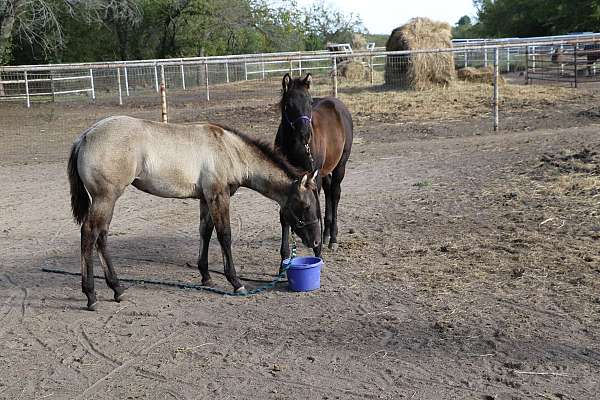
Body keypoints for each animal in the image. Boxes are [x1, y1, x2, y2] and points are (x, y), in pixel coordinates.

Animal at [68, 115, 322, 310]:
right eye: (306, 206)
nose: (317, 242)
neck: (230, 150)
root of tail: (85, 137)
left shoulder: (205, 198)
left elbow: (205, 232)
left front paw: (206, 276)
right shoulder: (219, 195)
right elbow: (224, 235)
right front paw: (236, 282)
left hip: (106, 201)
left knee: (101, 236)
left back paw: (117, 289)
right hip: (105, 198)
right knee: (89, 233)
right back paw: (91, 295)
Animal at [276, 73, 354, 264]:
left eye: (309, 102)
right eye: (289, 104)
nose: (305, 133)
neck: (296, 146)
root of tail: (337, 103)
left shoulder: (312, 176)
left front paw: (317, 251)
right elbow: (284, 214)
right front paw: (285, 256)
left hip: (340, 165)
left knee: (335, 193)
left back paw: (332, 239)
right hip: (325, 171)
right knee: (328, 190)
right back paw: (325, 234)